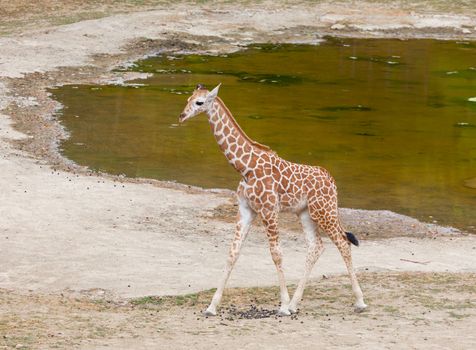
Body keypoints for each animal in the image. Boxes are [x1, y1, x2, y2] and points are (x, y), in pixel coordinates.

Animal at [179, 83, 368, 316]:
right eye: (188, 99)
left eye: (200, 102)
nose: (182, 116)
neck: (245, 167)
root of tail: (331, 180)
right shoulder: (246, 210)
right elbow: (232, 253)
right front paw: (212, 307)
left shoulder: (269, 209)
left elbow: (276, 254)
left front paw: (283, 306)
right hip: (306, 213)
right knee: (316, 247)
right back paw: (296, 304)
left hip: (325, 211)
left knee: (343, 243)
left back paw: (359, 301)